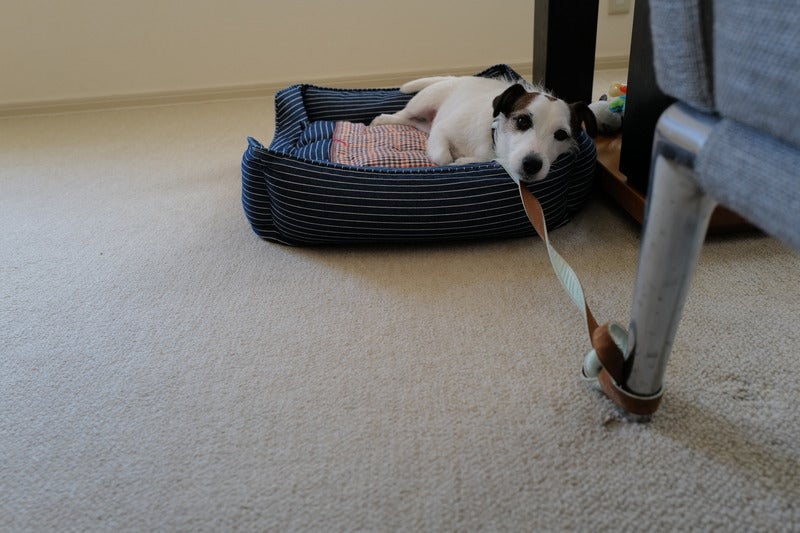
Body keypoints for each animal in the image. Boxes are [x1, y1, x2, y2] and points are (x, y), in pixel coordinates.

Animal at [371, 76, 597, 183]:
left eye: (561, 135)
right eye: (522, 121)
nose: (532, 164)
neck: (492, 141)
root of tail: (457, 78)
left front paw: (464, 161)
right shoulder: (442, 130)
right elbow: (443, 157)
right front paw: (454, 159)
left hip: (425, 123)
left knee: (415, 123)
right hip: (423, 101)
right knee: (403, 115)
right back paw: (382, 119)